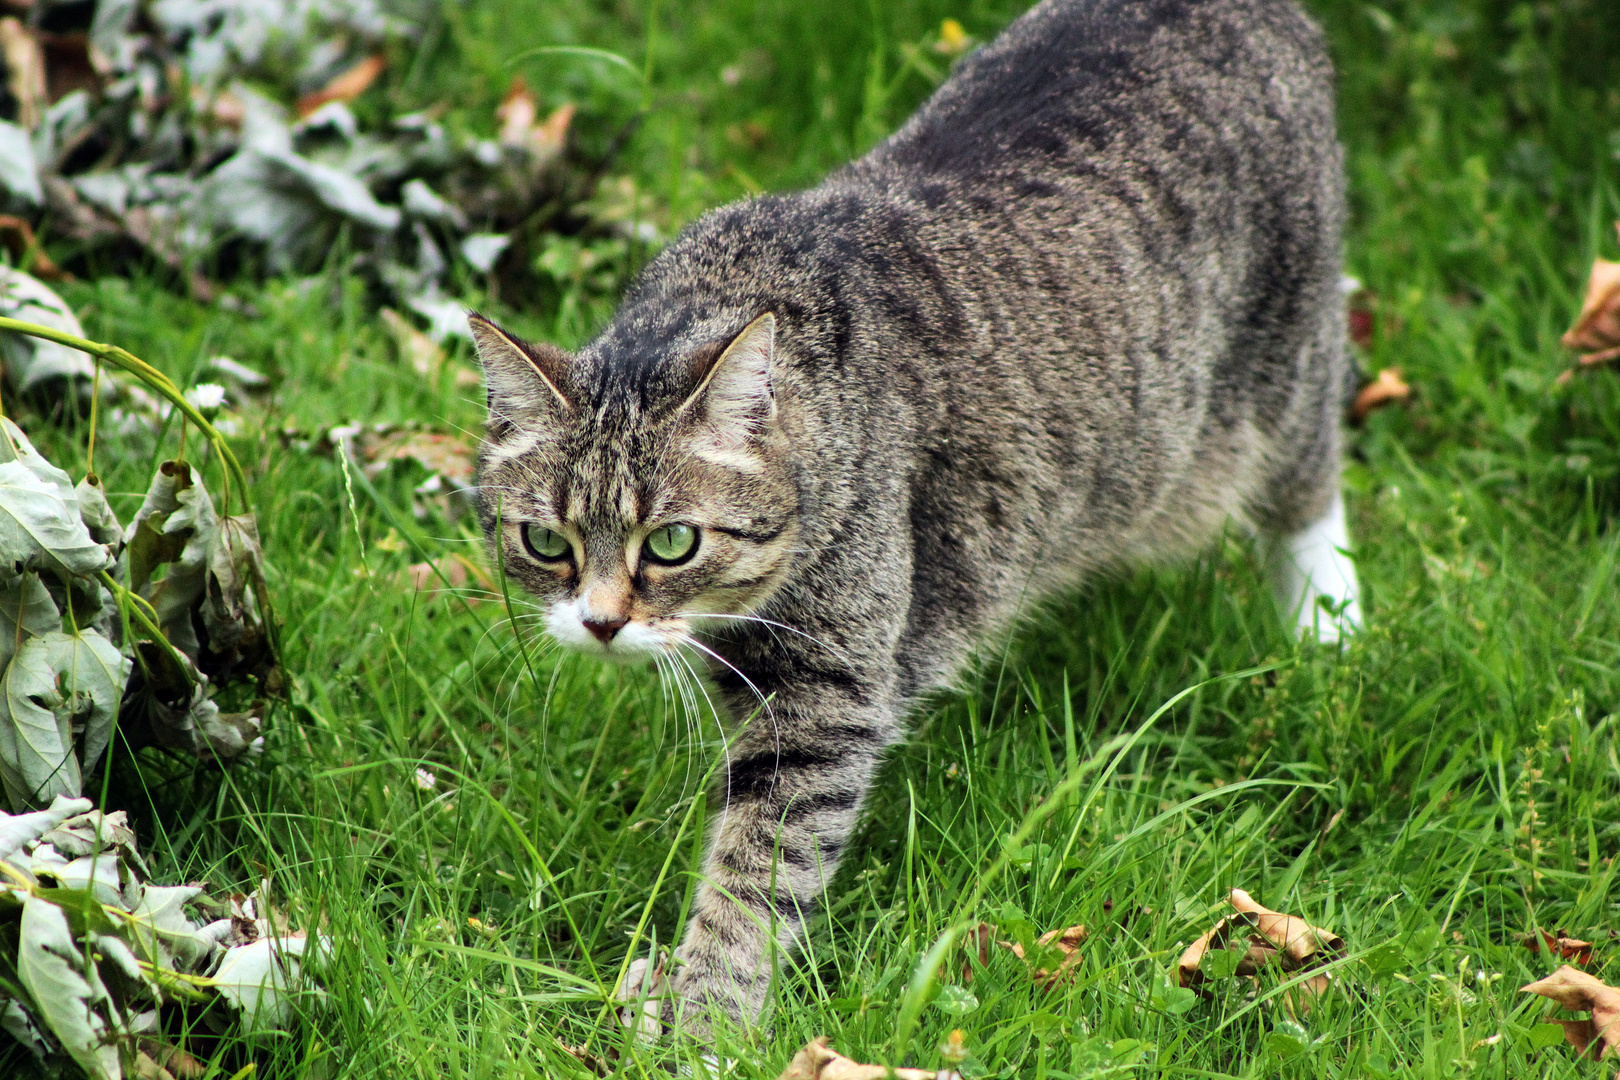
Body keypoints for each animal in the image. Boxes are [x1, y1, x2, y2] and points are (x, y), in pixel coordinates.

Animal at [473, 0, 1367, 1036]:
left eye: (671, 542)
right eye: (547, 542)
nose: (601, 624)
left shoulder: (824, 699)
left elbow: (754, 873)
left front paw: (708, 1024)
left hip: (1284, 363)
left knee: (1310, 480)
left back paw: (1329, 625)